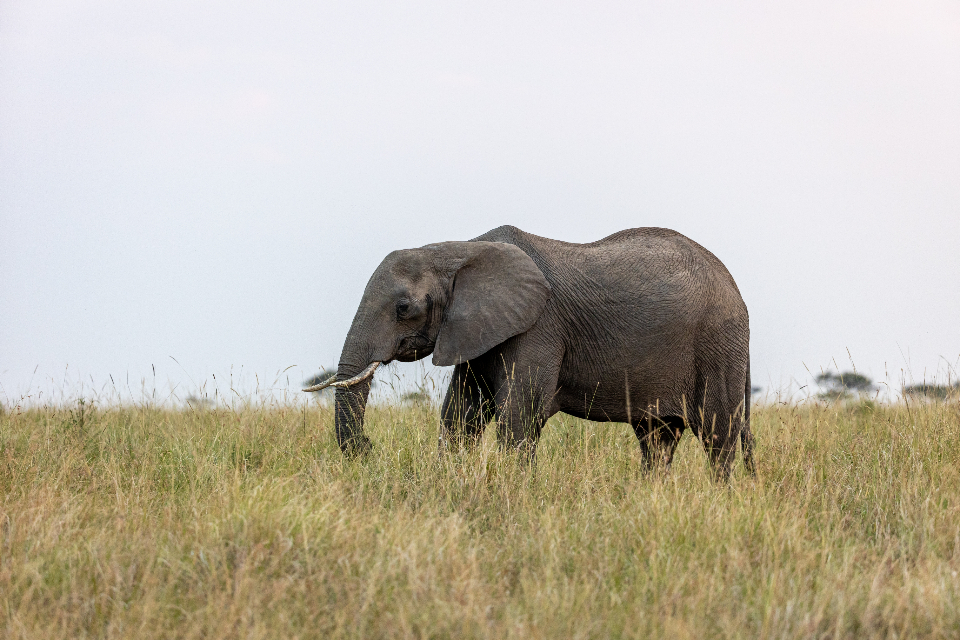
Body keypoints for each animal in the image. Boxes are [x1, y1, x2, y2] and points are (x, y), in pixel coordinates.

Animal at [305, 225, 754, 480]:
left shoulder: (538, 327)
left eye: (403, 308)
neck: (460, 250)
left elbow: (519, 415)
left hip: (718, 345)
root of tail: (737, 289)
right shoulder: (476, 331)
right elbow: (461, 415)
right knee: (658, 438)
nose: (368, 447)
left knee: (718, 435)